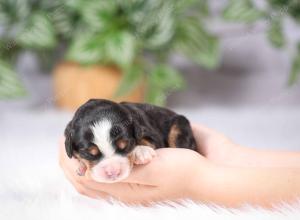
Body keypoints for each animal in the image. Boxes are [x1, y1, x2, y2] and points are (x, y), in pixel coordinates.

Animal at [64, 99, 196, 183]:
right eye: (89, 153)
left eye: (125, 145)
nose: (113, 172)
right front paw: (82, 166)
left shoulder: (151, 133)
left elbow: (145, 140)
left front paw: (141, 151)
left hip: (179, 127)